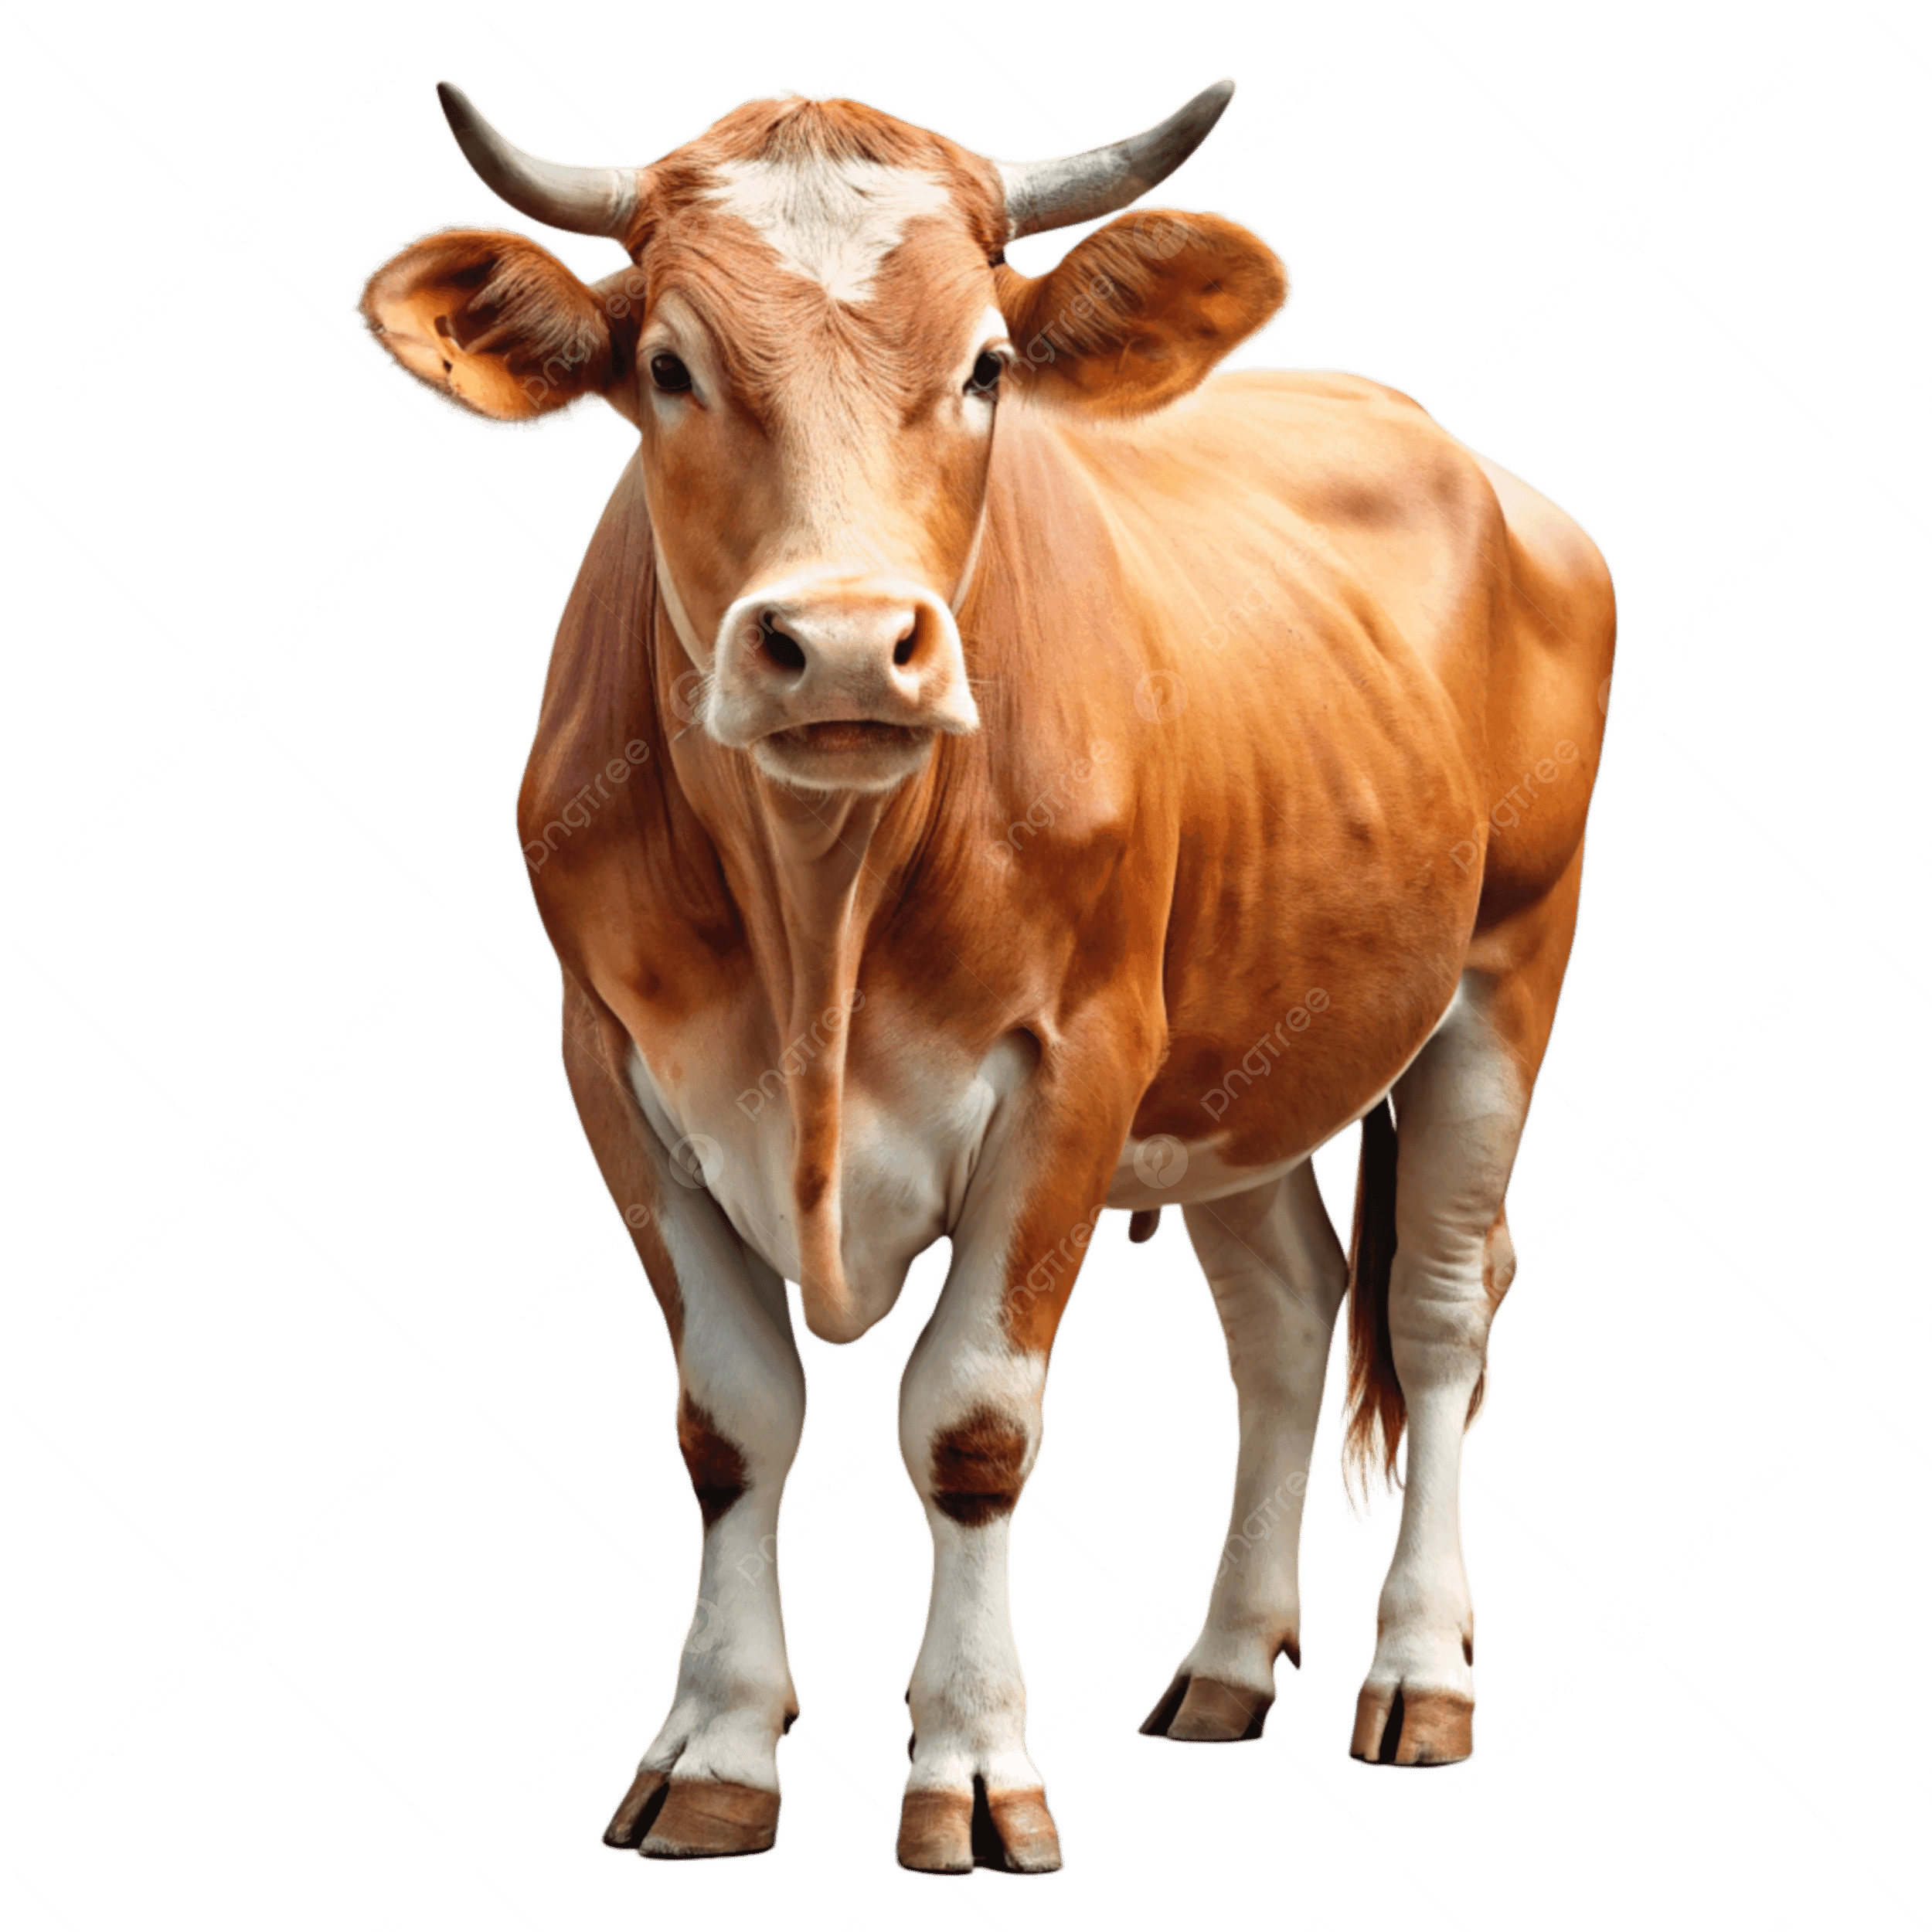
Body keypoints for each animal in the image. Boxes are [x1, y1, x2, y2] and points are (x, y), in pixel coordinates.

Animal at [352, 71, 1616, 1877]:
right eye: (666, 365)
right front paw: (716, 1751)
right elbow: (731, 1420)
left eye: (987, 368)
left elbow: (967, 1424)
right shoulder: (614, 1070)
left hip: (1506, 964)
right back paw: (1228, 1666)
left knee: (1439, 1309)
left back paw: (1419, 1675)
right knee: (1286, 1317)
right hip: (1246, 1043)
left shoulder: (1069, 1067)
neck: (821, 909)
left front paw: (970, 1765)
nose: (841, 645)